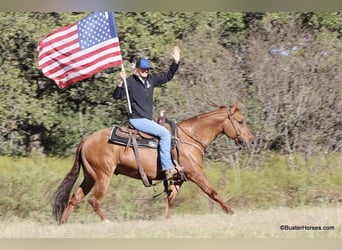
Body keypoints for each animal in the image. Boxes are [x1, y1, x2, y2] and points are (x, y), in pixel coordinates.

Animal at [52, 100, 254, 224]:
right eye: (240, 121)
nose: (251, 141)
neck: (188, 138)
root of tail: (86, 140)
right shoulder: (195, 173)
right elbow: (213, 192)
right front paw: (231, 212)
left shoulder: (178, 179)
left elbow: (171, 200)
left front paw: (166, 221)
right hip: (103, 176)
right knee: (94, 200)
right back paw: (108, 222)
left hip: (90, 177)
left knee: (75, 198)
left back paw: (63, 223)